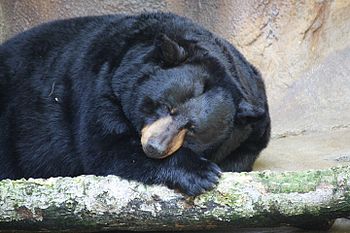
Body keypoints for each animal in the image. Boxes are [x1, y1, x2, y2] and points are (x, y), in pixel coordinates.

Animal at [0, 11, 270, 196]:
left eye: (192, 129)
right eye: (165, 106)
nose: (154, 147)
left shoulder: (255, 123)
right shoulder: (100, 82)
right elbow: (107, 146)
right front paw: (202, 174)